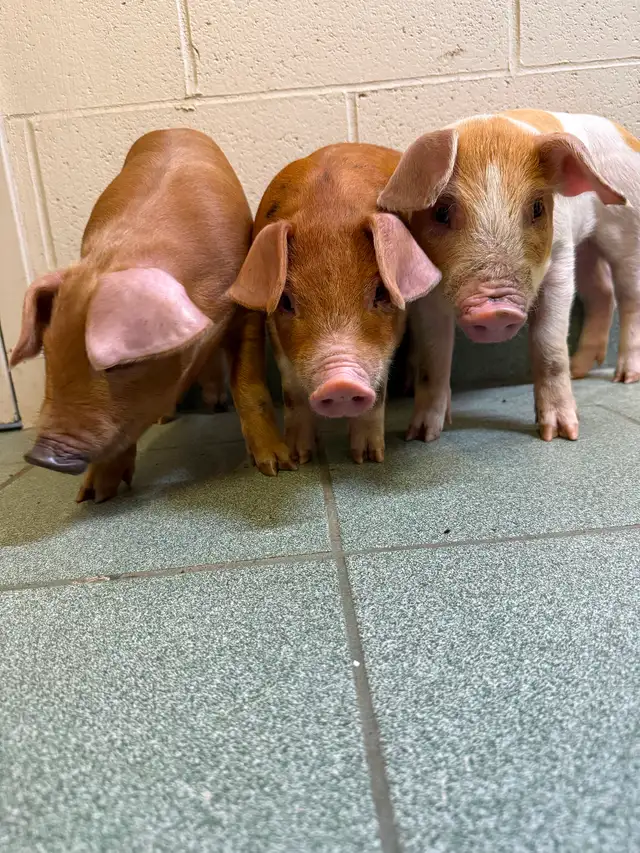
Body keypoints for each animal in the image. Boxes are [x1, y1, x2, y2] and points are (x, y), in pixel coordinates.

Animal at [225, 143, 441, 468]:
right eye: (286, 302)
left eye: (380, 293)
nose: (341, 384)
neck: (328, 209)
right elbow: (292, 392)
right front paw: (298, 459)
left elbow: (378, 390)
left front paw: (367, 459)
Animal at [378, 110, 638, 442]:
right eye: (441, 212)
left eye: (538, 207)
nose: (497, 310)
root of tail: (626, 134)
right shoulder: (427, 292)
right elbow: (433, 358)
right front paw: (422, 436)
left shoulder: (560, 259)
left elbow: (549, 345)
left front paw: (560, 435)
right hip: (587, 247)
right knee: (602, 294)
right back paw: (580, 370)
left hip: (625, 228)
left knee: (629, 297)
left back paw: (625, 378)